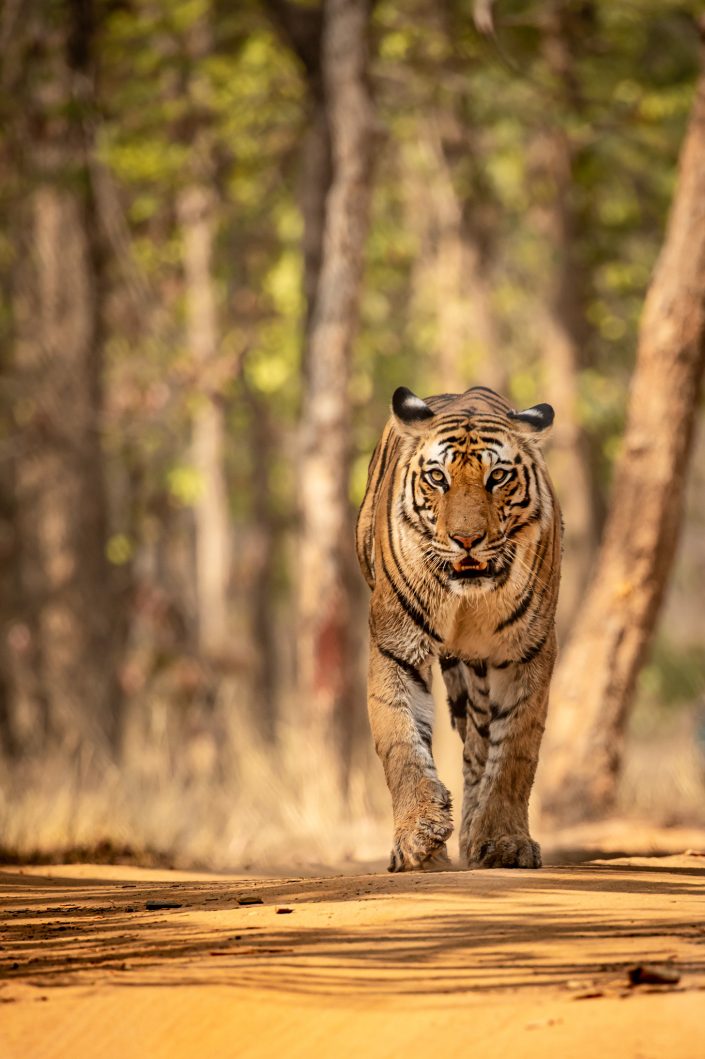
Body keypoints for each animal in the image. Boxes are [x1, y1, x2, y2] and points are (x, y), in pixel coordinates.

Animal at [357, 385, 558, 872]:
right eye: (437, 477)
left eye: (498, 477)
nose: (466, 540)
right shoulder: (395, 646)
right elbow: (401, 741)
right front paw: (419, 839)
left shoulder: (528, 651)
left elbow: (515, 752)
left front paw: (505, 842)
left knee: (478, 748)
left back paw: (474, 835)